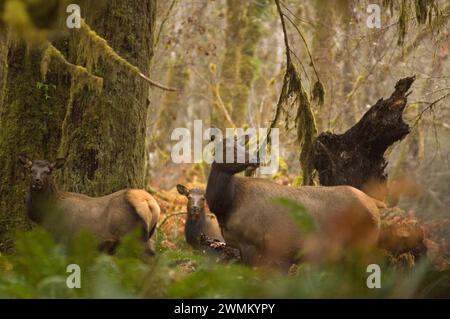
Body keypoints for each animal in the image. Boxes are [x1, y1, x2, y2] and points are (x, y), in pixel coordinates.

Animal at [18, 156, 160, 256]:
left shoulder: (61, 236)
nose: (37, 181)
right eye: (31, 170)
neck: (44, 214)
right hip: (147, 236)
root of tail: (150, 203)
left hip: (134, 236)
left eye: (48, 171)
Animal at [206, 134, 384, 268]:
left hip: (363, 241)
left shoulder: (252, 241)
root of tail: (375, 202)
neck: (226, 207)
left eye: (242, 145)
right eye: (228, 148)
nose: (255, 158)